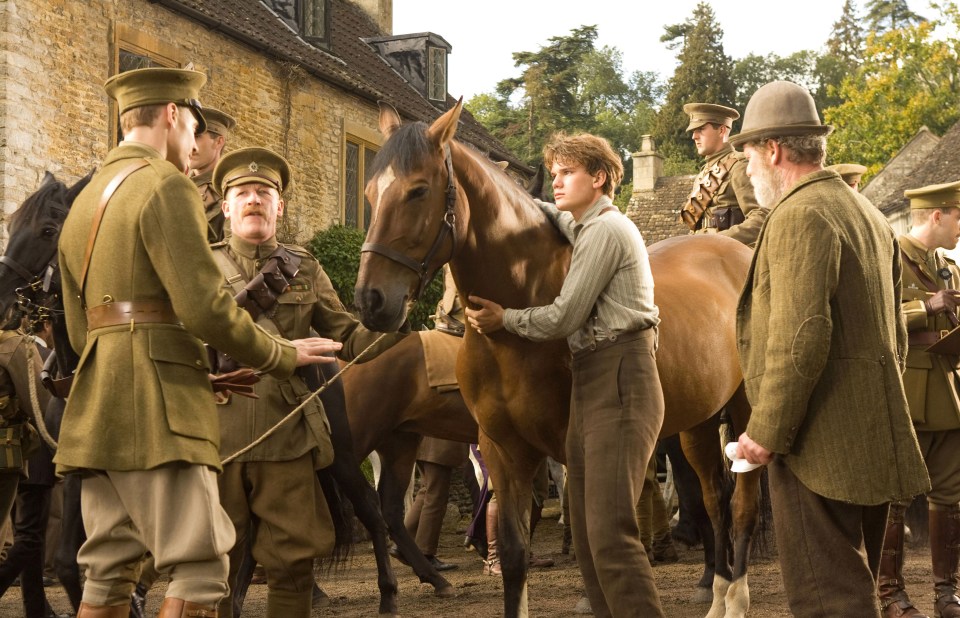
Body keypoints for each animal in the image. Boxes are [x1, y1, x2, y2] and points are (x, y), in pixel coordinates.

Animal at [352, 102, 764, 616]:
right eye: (369, 191)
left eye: (419, 190)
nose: (371, 300)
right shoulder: (502, 450)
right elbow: (514, 555)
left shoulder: (575, 449)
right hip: (698, 422)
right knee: (713, 496)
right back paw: (717, 590)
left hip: (743, 411)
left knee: (742, 503)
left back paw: (737, 597)